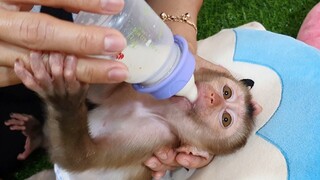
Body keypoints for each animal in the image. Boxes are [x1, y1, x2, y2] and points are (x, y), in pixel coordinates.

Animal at [13, 51, 262, 179]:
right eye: (226, 92)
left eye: (226, 119)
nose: (212, 97)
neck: (156, 109)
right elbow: (99, 91)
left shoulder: (156, 137)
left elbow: (82, 158)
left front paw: (63, 97)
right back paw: (34, 133)